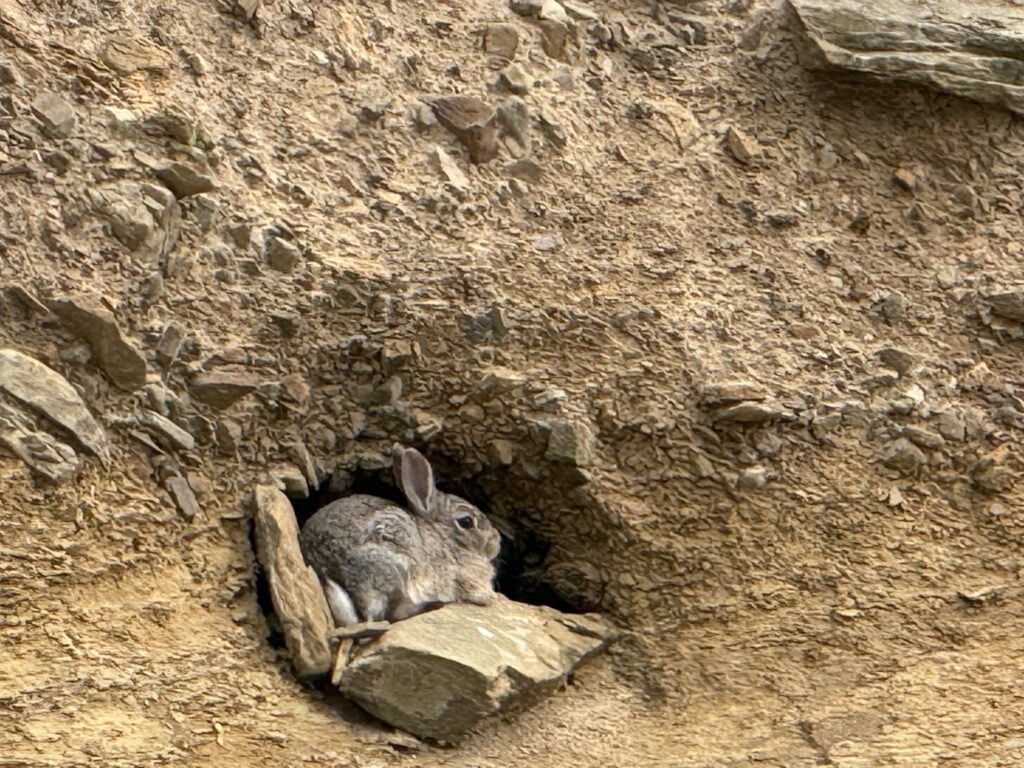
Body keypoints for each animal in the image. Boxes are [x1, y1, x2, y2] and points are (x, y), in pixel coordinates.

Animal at [299, 443, 502, 627]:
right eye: (466, 521)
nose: (497, 542)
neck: (444, 535)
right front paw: (490, 597)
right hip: (390, 565)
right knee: (395, 613)